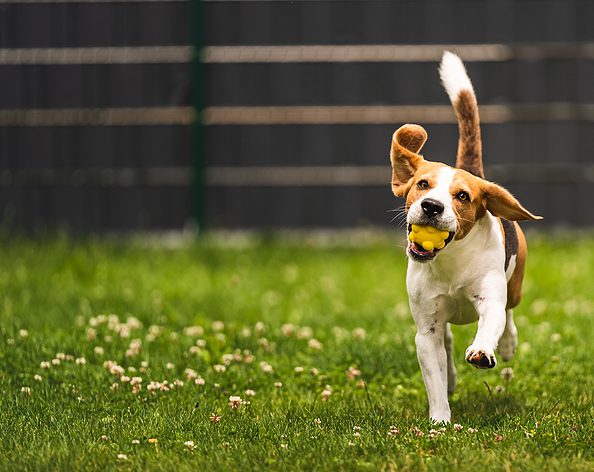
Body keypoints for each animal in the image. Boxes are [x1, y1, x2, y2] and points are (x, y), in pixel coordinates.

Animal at [388, 49, 540, 422]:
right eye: (422, 184)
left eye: (462, 196)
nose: (431, 206)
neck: (450, 261)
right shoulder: (426, 330)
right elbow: (434, 375)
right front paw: (440, 419)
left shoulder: (490, 300)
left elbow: (491, 322)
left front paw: (484, 350)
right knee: (447, 344)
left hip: (514, 285)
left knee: (509, 313)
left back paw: (507, 344)